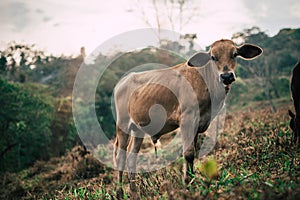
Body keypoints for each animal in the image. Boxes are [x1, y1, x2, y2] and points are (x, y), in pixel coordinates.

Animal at [113, 38, 262, 197]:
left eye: (234, 54)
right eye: (213, 57)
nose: (226, 76)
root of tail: (123, 81)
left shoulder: (198, 123)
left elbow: (193, 155)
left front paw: (191, 183)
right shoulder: (187, 120)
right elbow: (188, 154)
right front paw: (187, 187)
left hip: (138, 129)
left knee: (131, 157)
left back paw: (134, 192)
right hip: (123, 125)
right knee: (120, 157)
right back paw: (119, 193)